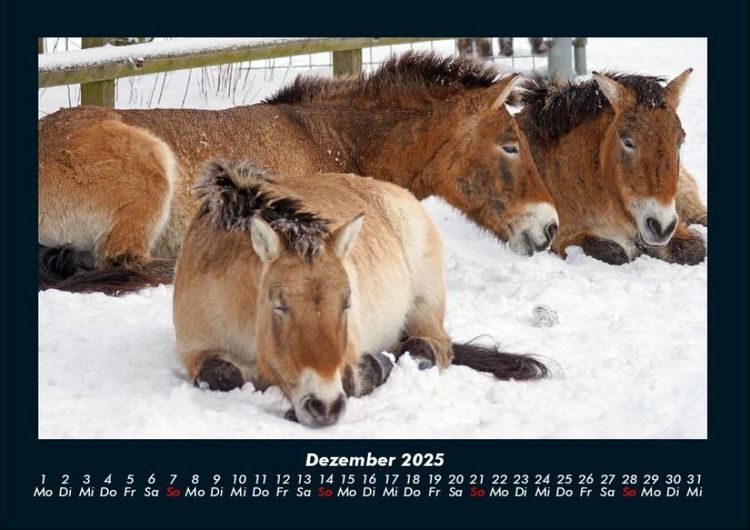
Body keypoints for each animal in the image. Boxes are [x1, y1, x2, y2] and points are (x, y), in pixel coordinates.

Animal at [173, 160, 548, 427]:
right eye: (278, 306)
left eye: (347, 303)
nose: (323, 406)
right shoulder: (195, 351)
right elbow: (220, 375)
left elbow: (354, 378)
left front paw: (374, 367)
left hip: (425, 300)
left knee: (430, 346)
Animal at [513, 70, 707, 265]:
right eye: (628, 142)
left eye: (680, 142)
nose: (661, 227)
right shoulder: (561, 237)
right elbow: (614, 252)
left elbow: (695, 249)